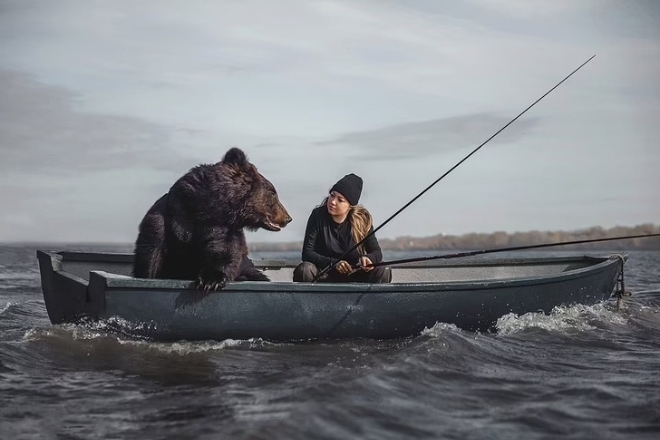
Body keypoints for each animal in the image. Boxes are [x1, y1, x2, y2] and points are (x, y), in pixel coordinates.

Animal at [132, 147, 292, 291]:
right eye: (273, 193)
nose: (288, 218)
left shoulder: (222, 226)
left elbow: (222, 249)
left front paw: (211, 280)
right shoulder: (168, 216)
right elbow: (151, 254)